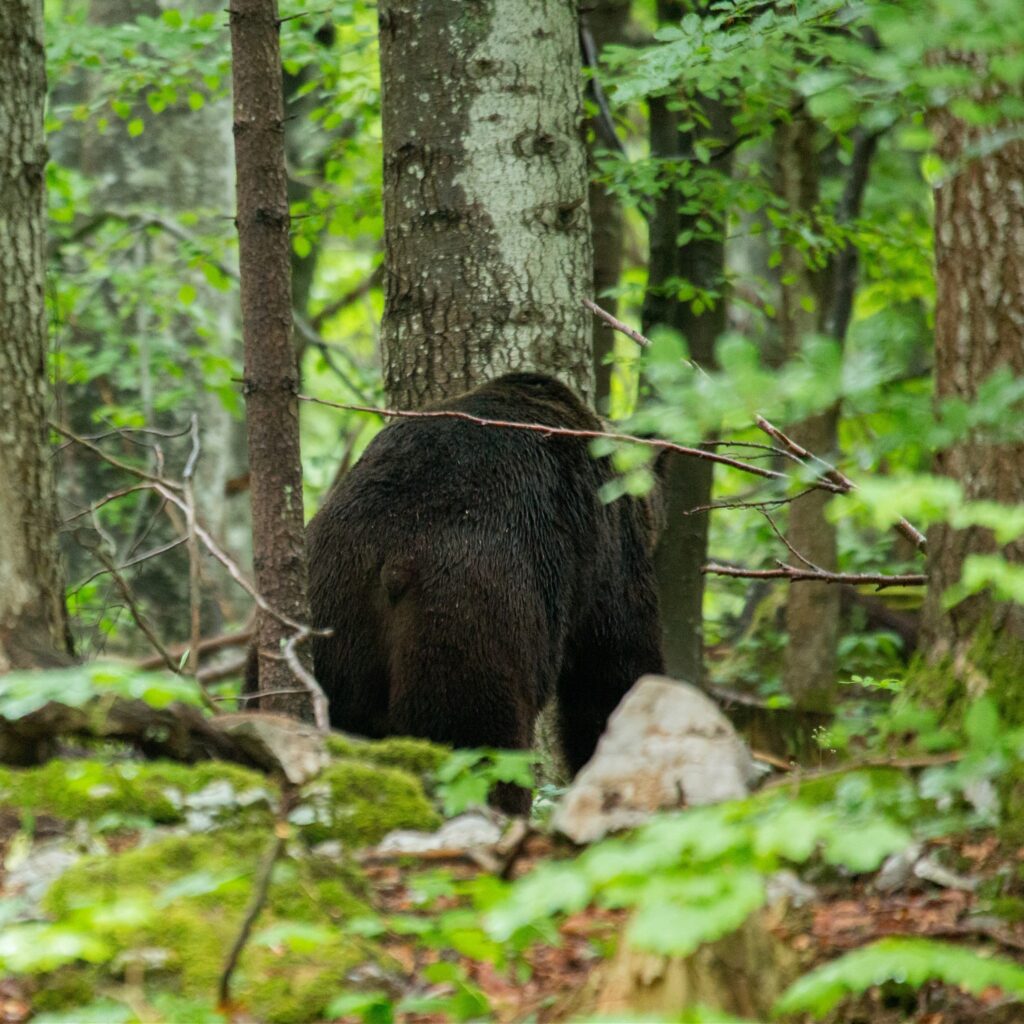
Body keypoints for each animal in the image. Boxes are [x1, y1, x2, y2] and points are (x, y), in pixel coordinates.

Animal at [303, 372, 663, 811]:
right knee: (480, 749)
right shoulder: (606, 555)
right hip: (469, 623)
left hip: (329, 615)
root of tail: (391, 563)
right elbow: (611, 671)